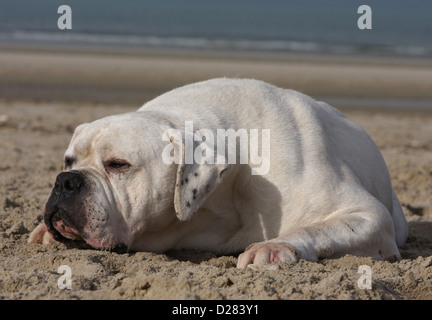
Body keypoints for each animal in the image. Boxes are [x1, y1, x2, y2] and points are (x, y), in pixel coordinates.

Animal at [28, 77, 406, 268]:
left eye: (118, 164)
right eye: (68, 161)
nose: (67, 181)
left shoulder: (368, 216)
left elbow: (317, 228)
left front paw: (274, 246)